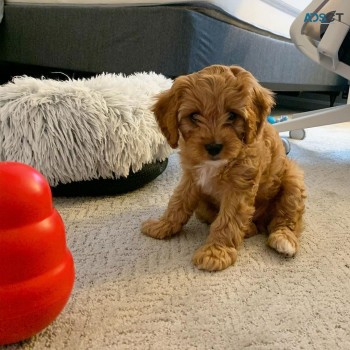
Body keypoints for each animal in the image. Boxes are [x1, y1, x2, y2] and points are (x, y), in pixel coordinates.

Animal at [142, 65, 306, 270]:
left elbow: (228, 220)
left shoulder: (238, 188)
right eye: (194, 116)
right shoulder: (191, 178)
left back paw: (283, 239)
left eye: (232, 115)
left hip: (293, 179)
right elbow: (178, 202)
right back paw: (249, 228)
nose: (213, 147)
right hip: (203, 206)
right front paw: (162, 226)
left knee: (288, 218)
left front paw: (215, 252)